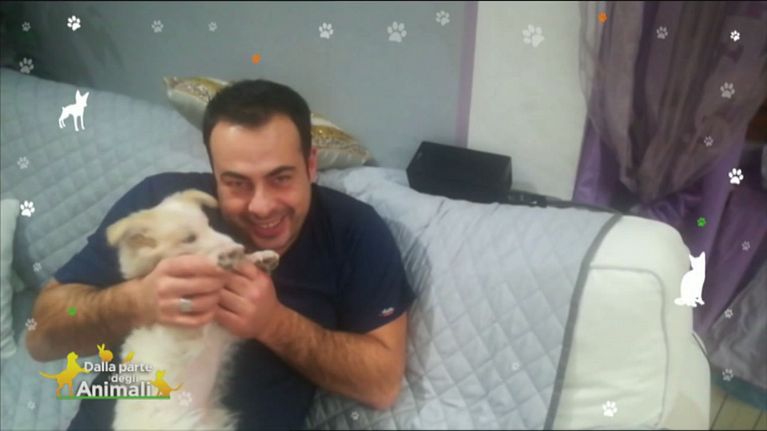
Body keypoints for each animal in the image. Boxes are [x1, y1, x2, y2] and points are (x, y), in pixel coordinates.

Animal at [105, 189, 279, 430]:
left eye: (209, 225)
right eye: (189, 239)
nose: (239, 246)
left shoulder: (223, 330)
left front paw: (258, 258)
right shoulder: (183, 330)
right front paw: (229, 256)